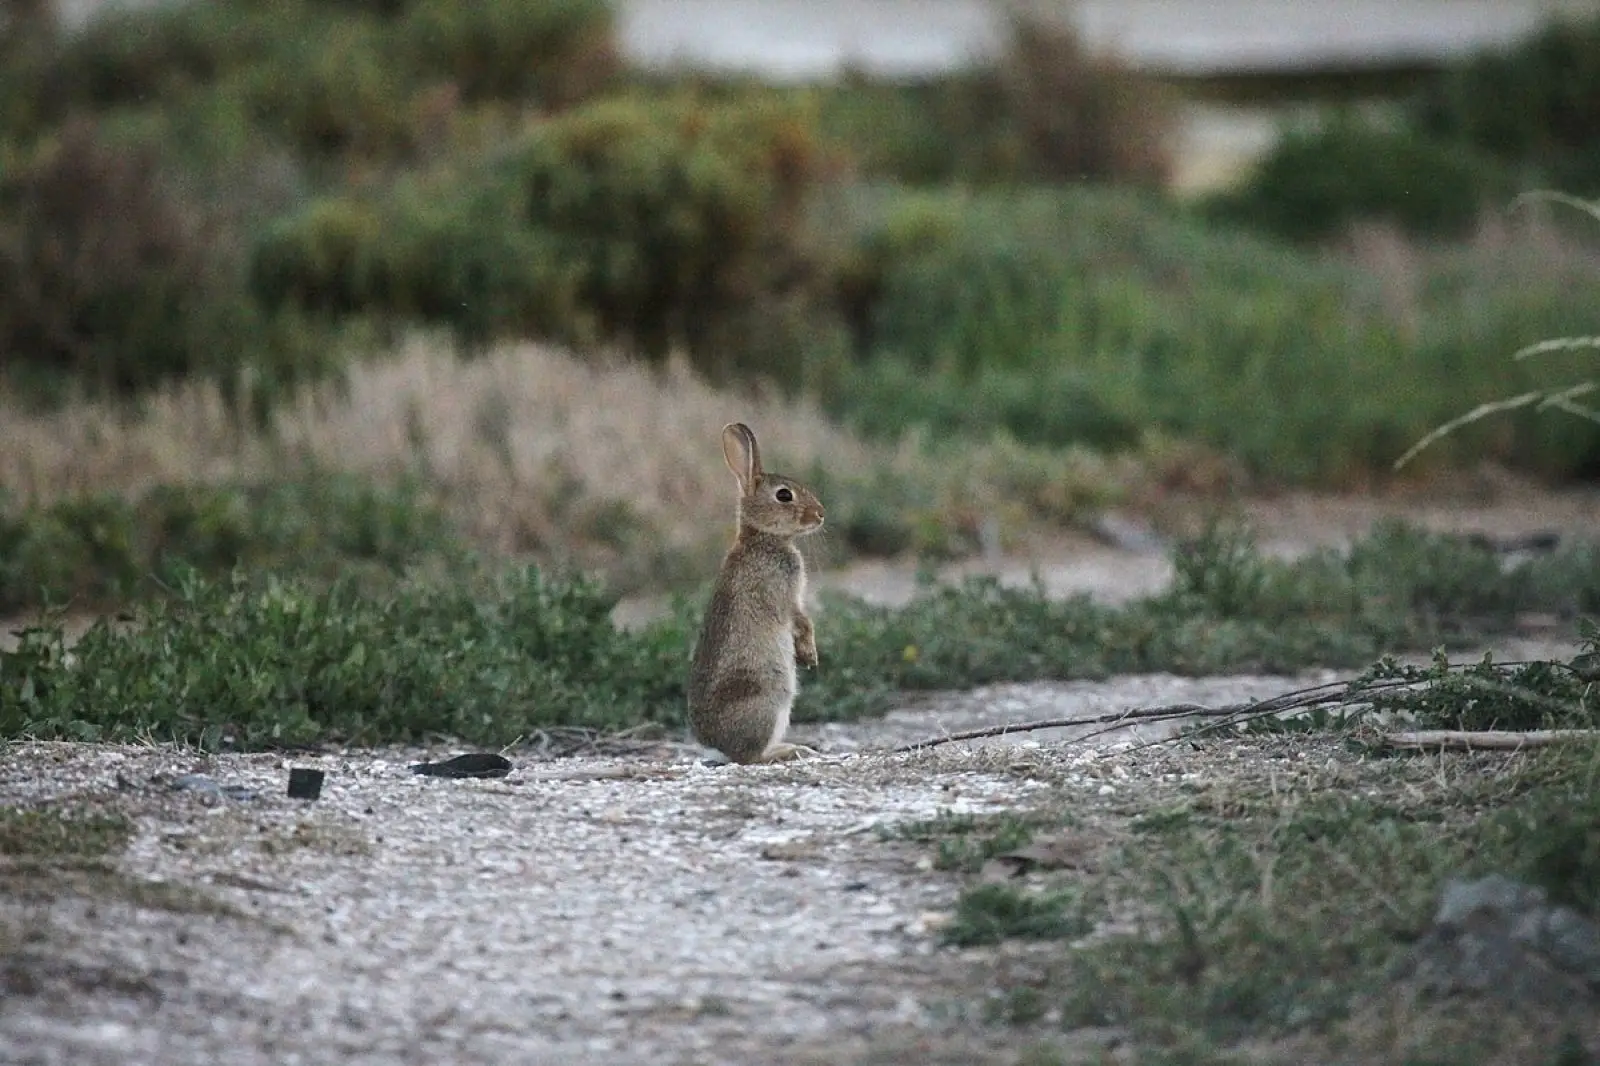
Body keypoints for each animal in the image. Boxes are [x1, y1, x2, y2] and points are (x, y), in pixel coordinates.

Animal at [687, 422, 826, 765]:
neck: (763, 537)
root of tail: (718, 745)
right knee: (750, 757)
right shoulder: (784, 594)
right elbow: (802, 621)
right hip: (768, 698)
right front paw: (810, 655)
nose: (820, 514)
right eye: (784, 495)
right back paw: (790, 751)